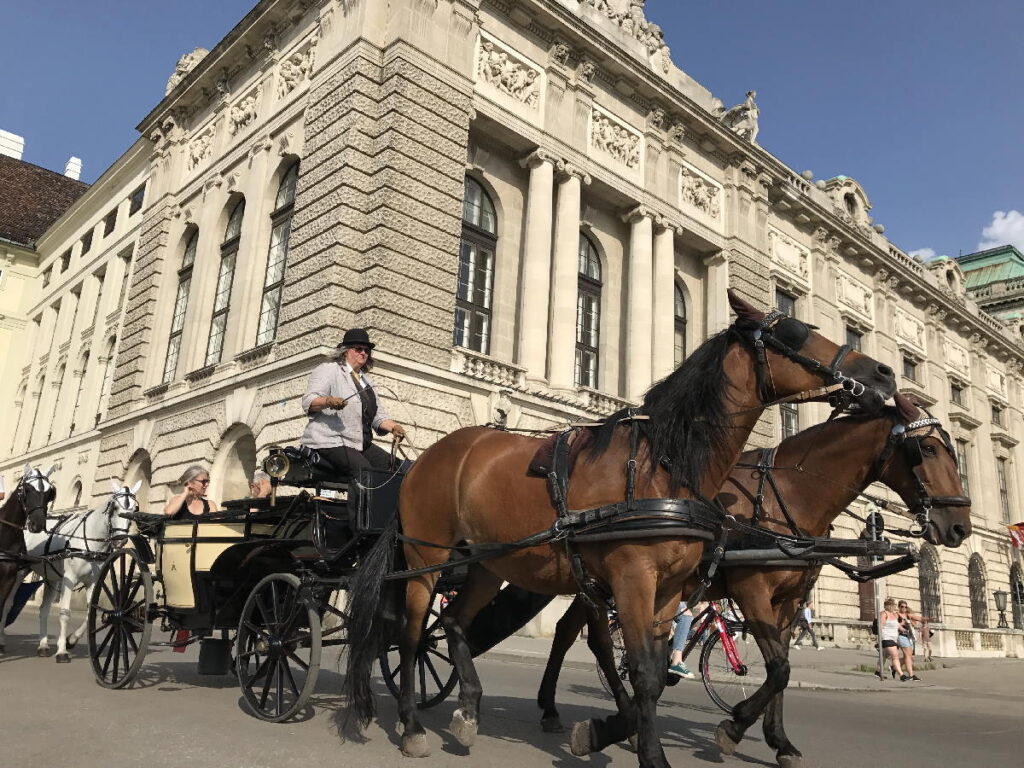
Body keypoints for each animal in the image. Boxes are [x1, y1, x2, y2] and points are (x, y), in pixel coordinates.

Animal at [23, 481, 139, 663]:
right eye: (114, 507)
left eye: (134, 509)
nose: (120, 541)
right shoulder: (69, 579)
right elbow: (64, 613)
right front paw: (62, 651)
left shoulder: (92, 582)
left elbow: (91, 613)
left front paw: (71, 640)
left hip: (52, 578)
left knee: (43, 609)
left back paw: (43, 645)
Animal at [344, 290, 897, 768]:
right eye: (795, 332)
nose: (885, 373)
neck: (663, 465)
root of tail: (425, 456)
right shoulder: (639, 580)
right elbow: (648, 673)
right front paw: (647, 748)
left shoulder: (670, 591)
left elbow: (655, 667)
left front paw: (618, 730)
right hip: (427, 559)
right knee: (412, 635)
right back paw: (413, 724)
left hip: (488, 563)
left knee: (457, 624)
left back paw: (470, 708)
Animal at [532, 393, 970, 765]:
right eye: (928, 449)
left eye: (955, 454)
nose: (960, 526)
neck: (787, 495)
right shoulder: (751, 588)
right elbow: (777, 668)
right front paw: (735, 724)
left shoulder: (790, 601)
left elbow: (783, 666)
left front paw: (779, 740)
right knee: (599, 640)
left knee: (571, 630)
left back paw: (560, 708)